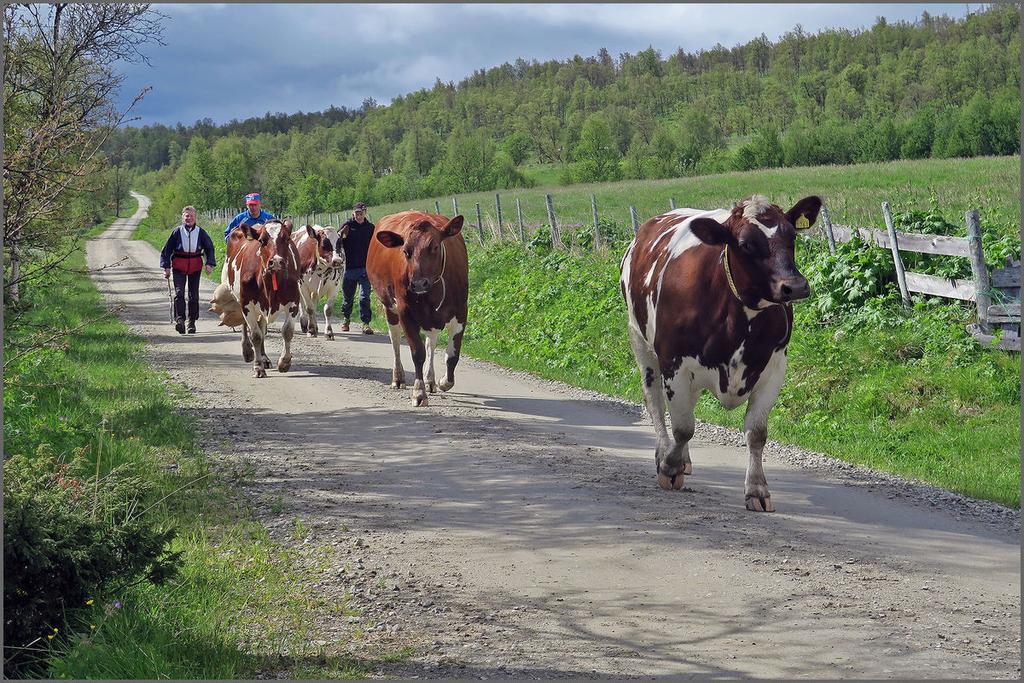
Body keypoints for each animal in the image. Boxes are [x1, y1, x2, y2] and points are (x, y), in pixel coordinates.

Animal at [224, 219, 303, 378]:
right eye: (261, 240)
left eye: (286, 238)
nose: (277, 261)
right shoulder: (246, 304)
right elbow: (255, 335)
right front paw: (258, 367)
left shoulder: (294, 302)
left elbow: (287, 331)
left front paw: (284, 362)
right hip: (241, 300)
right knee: (246, 326)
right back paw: (248, 351)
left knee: (262, 327)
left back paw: (265, 357)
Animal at [364, 210, 468, 409]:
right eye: (406, 251)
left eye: (434, 246)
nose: (419, 283)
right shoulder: (406, 312)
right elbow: (417, 353)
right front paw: (419, 393)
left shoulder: (461, 312)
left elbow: (452, 356)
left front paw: (443, 382)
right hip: (389, 307)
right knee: (395, 339)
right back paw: (399, 377)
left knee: (431, 342)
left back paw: (430, 380)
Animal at [614, 194, 823, 509]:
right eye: (746, 244)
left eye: (792, 236)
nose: (796, 286)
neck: (739, 320)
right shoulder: (674, 361)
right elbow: (683, 426)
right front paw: (670, 466)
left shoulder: (774, 367)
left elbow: (756, 433)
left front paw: (757, 489)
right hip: (640, 341)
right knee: (655, 402)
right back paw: (664, 452)